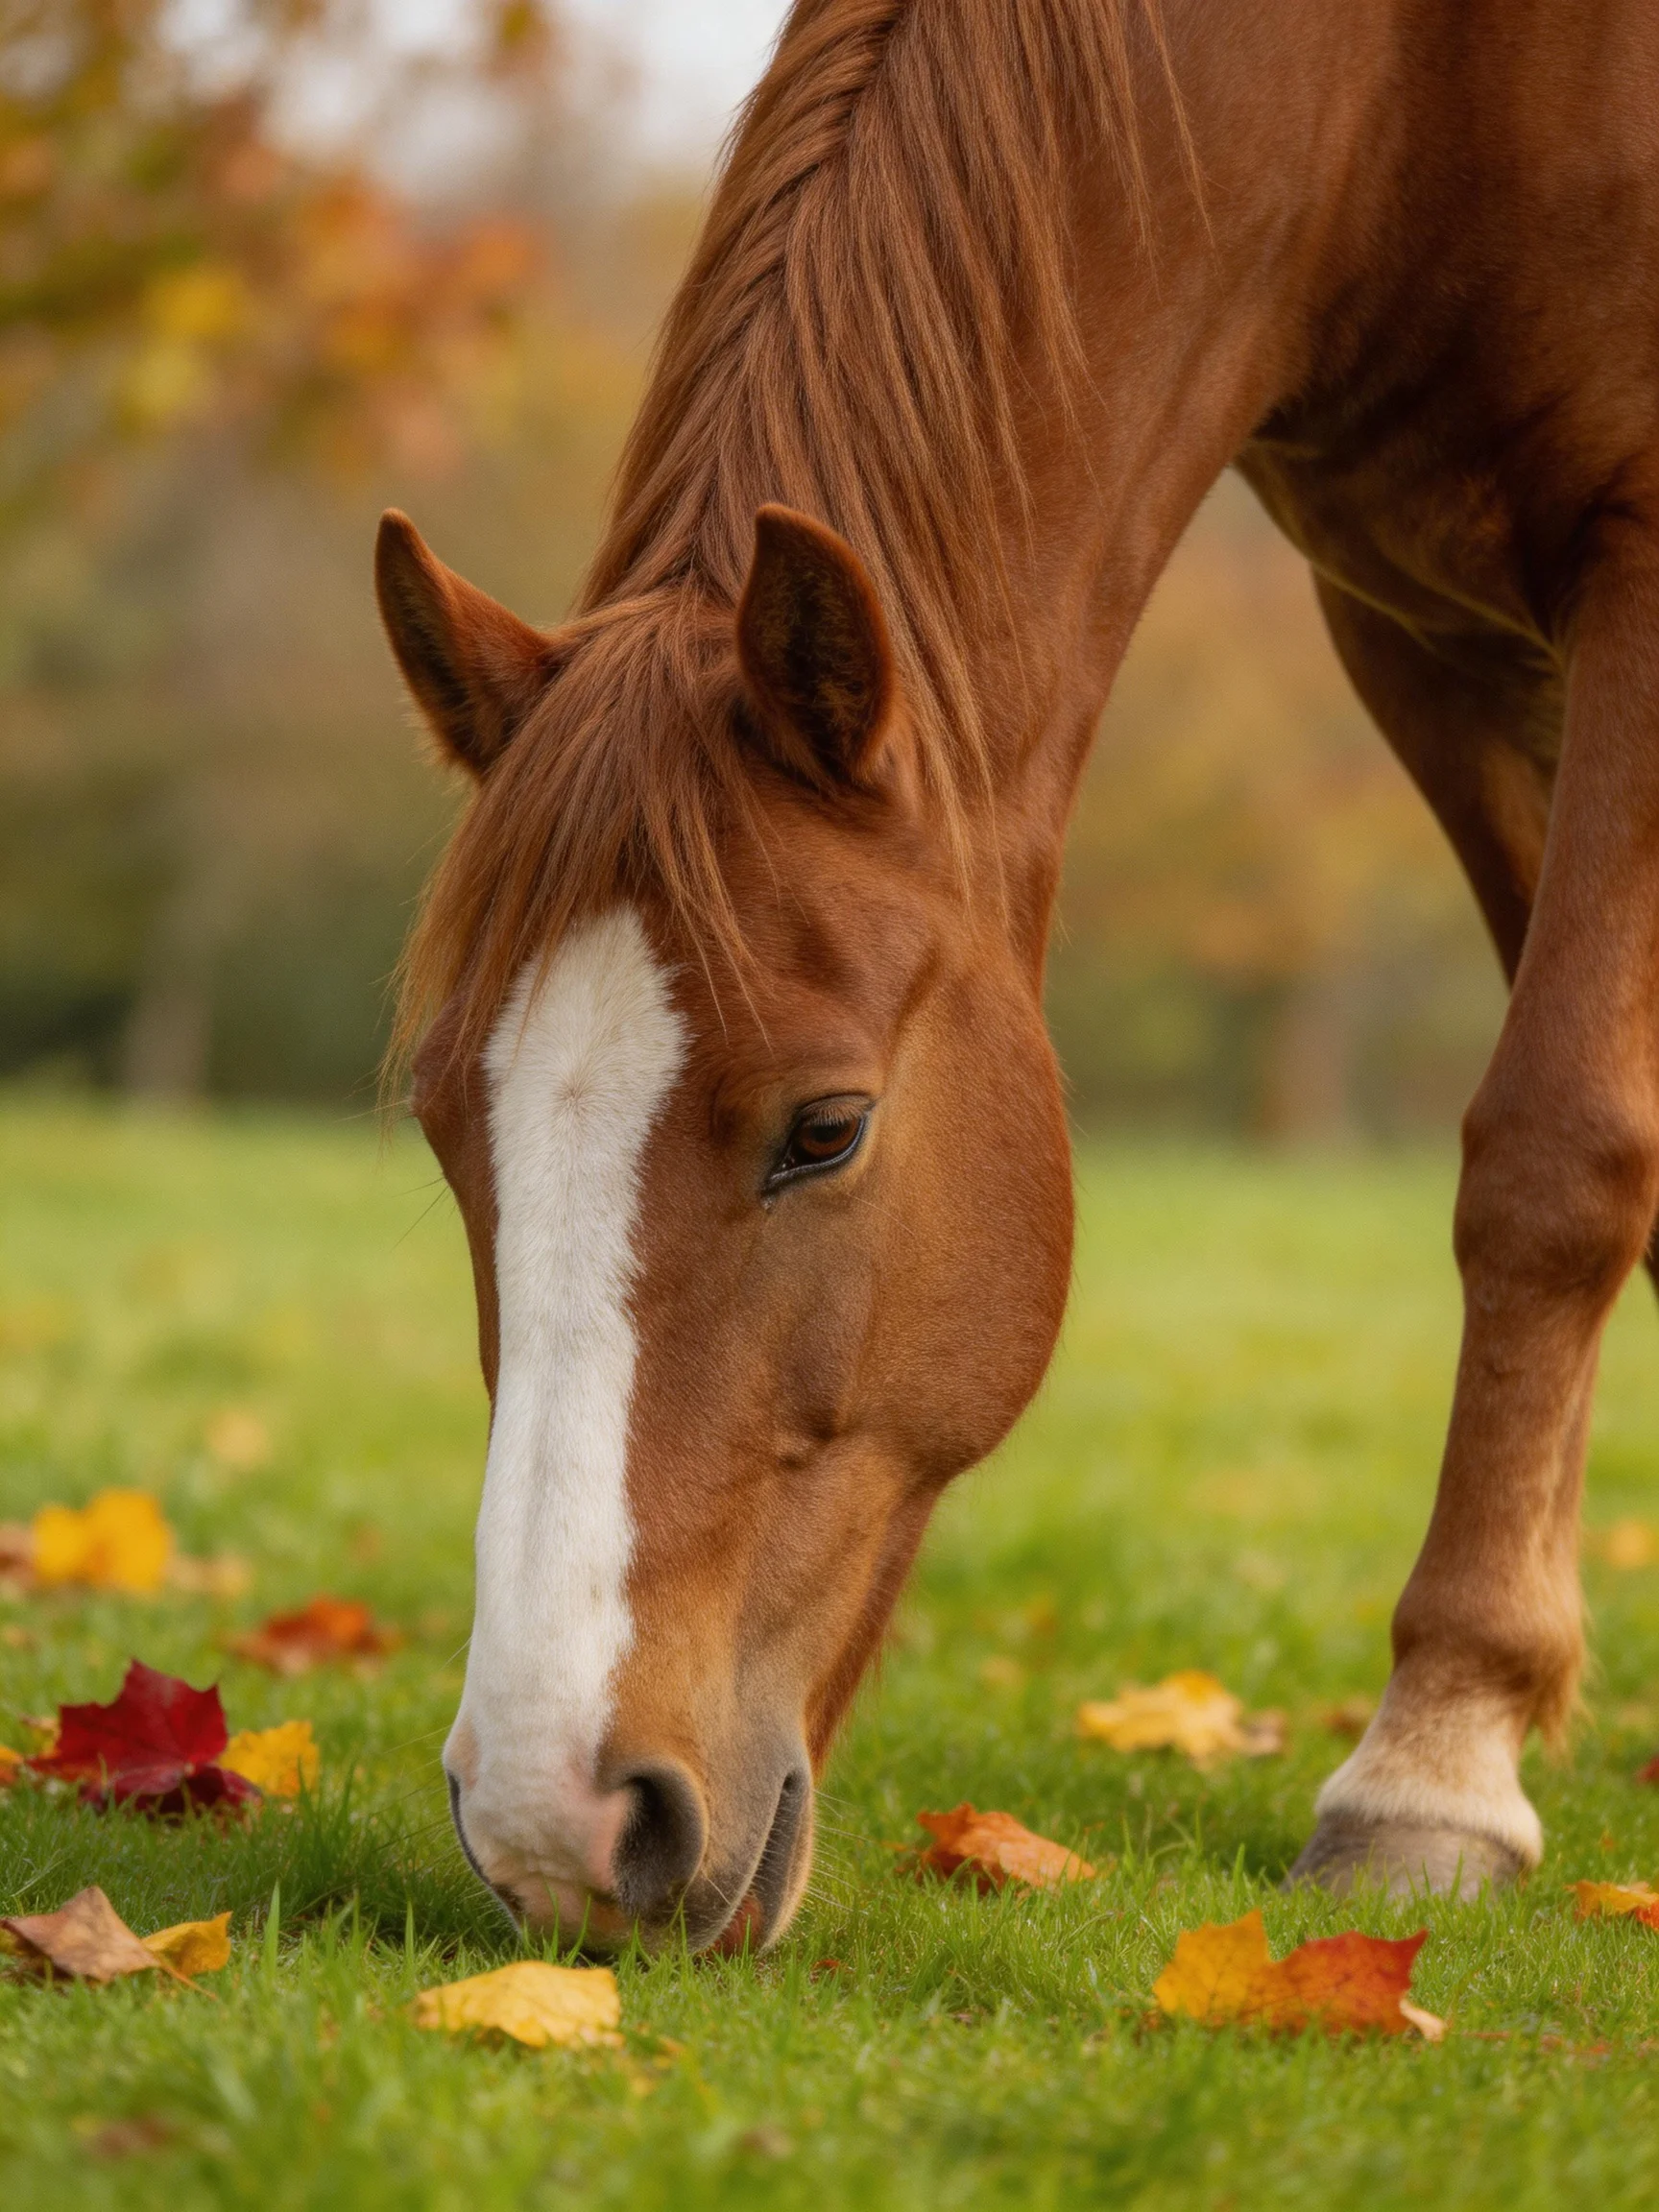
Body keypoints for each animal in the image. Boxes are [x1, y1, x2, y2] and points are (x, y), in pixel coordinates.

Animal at [375, 0, 1659, 1949]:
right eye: (452, 1129)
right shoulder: (1417, 631)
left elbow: (1558, 1152)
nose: (554, 1826)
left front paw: (1436, 1761)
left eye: (826, 1128)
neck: (1414, 83)